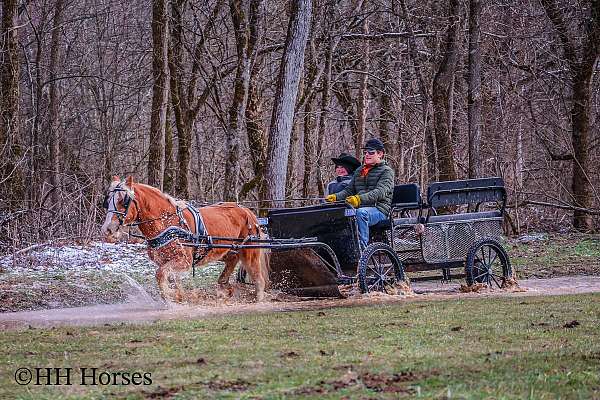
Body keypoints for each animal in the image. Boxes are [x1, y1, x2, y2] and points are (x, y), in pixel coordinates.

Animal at [101, 176, 270, 304]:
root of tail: (247, 211)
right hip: (225, 250)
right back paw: (224, 286)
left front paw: (171, 297)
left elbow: (160, 274)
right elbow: (172, 278)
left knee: (258, 277)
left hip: (249, 252)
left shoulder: (184, 261)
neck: (167, 223)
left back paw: (258, 298)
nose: (107, 229)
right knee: (232, 260)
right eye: (107, 201)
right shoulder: (166, 261)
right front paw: (179, 295)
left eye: (123, 201)